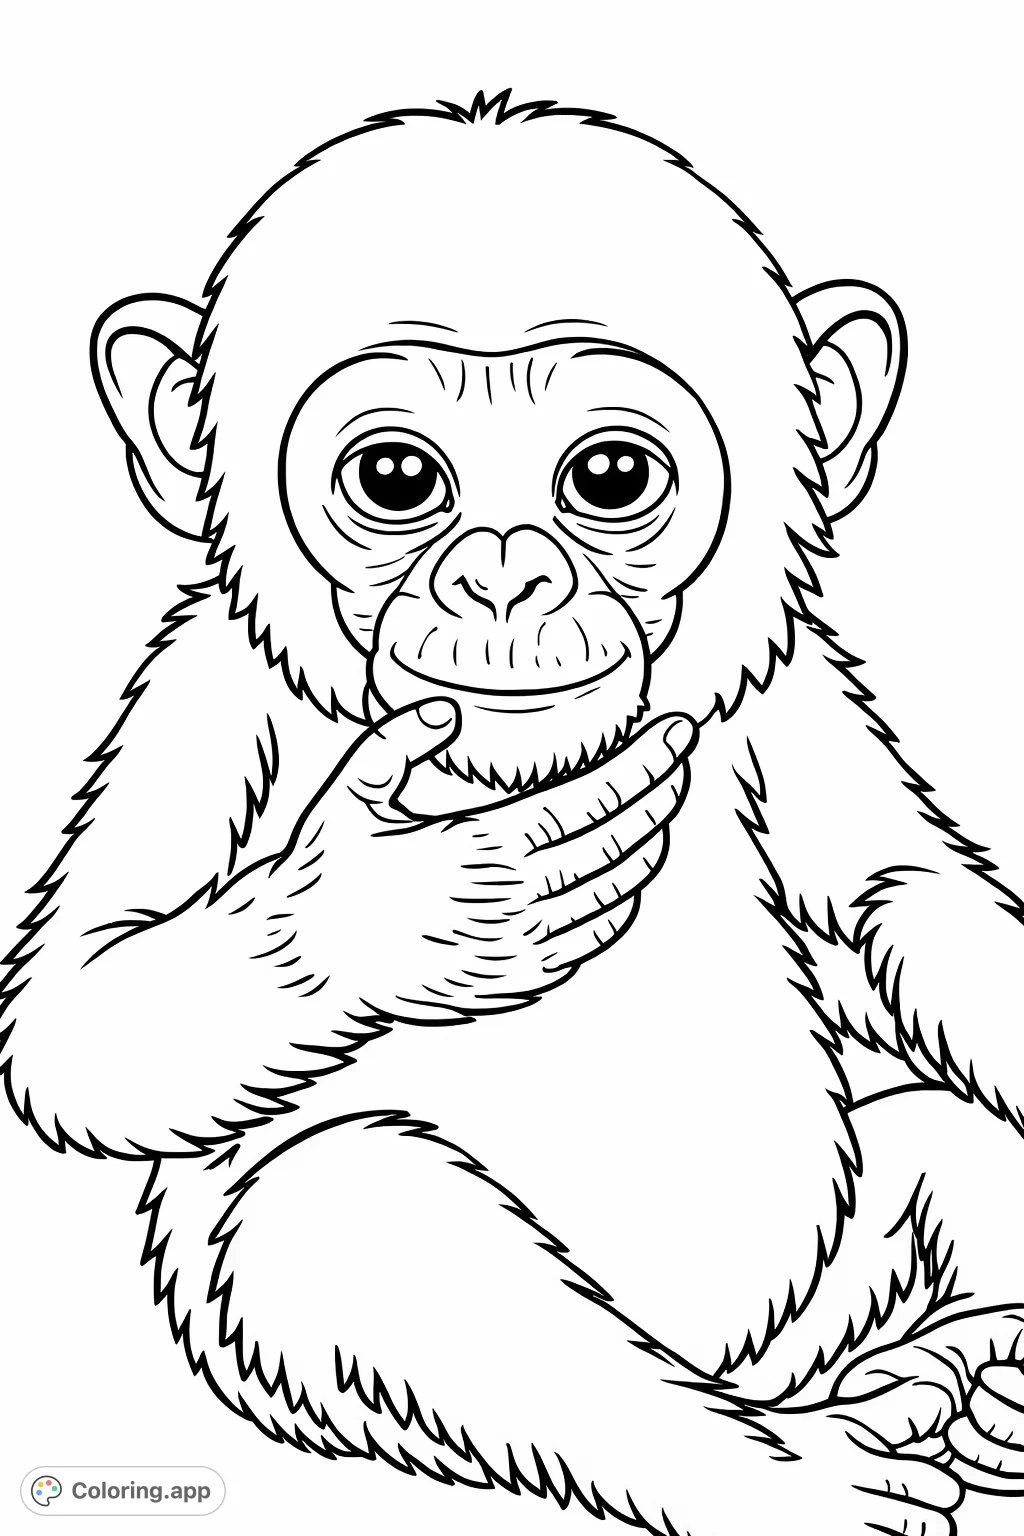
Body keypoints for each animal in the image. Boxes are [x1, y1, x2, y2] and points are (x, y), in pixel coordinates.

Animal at [4, 91, 1024, 1533]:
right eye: (393, 477)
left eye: (608, 477)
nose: (501, 578)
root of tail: (752, 1368)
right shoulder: (200, 691)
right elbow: (86, 1014)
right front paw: (412, 901)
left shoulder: (794, 690)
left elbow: (905, 890)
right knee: (361, 1216)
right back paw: (794, 1471)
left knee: (948, 1152)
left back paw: (972, 1368)